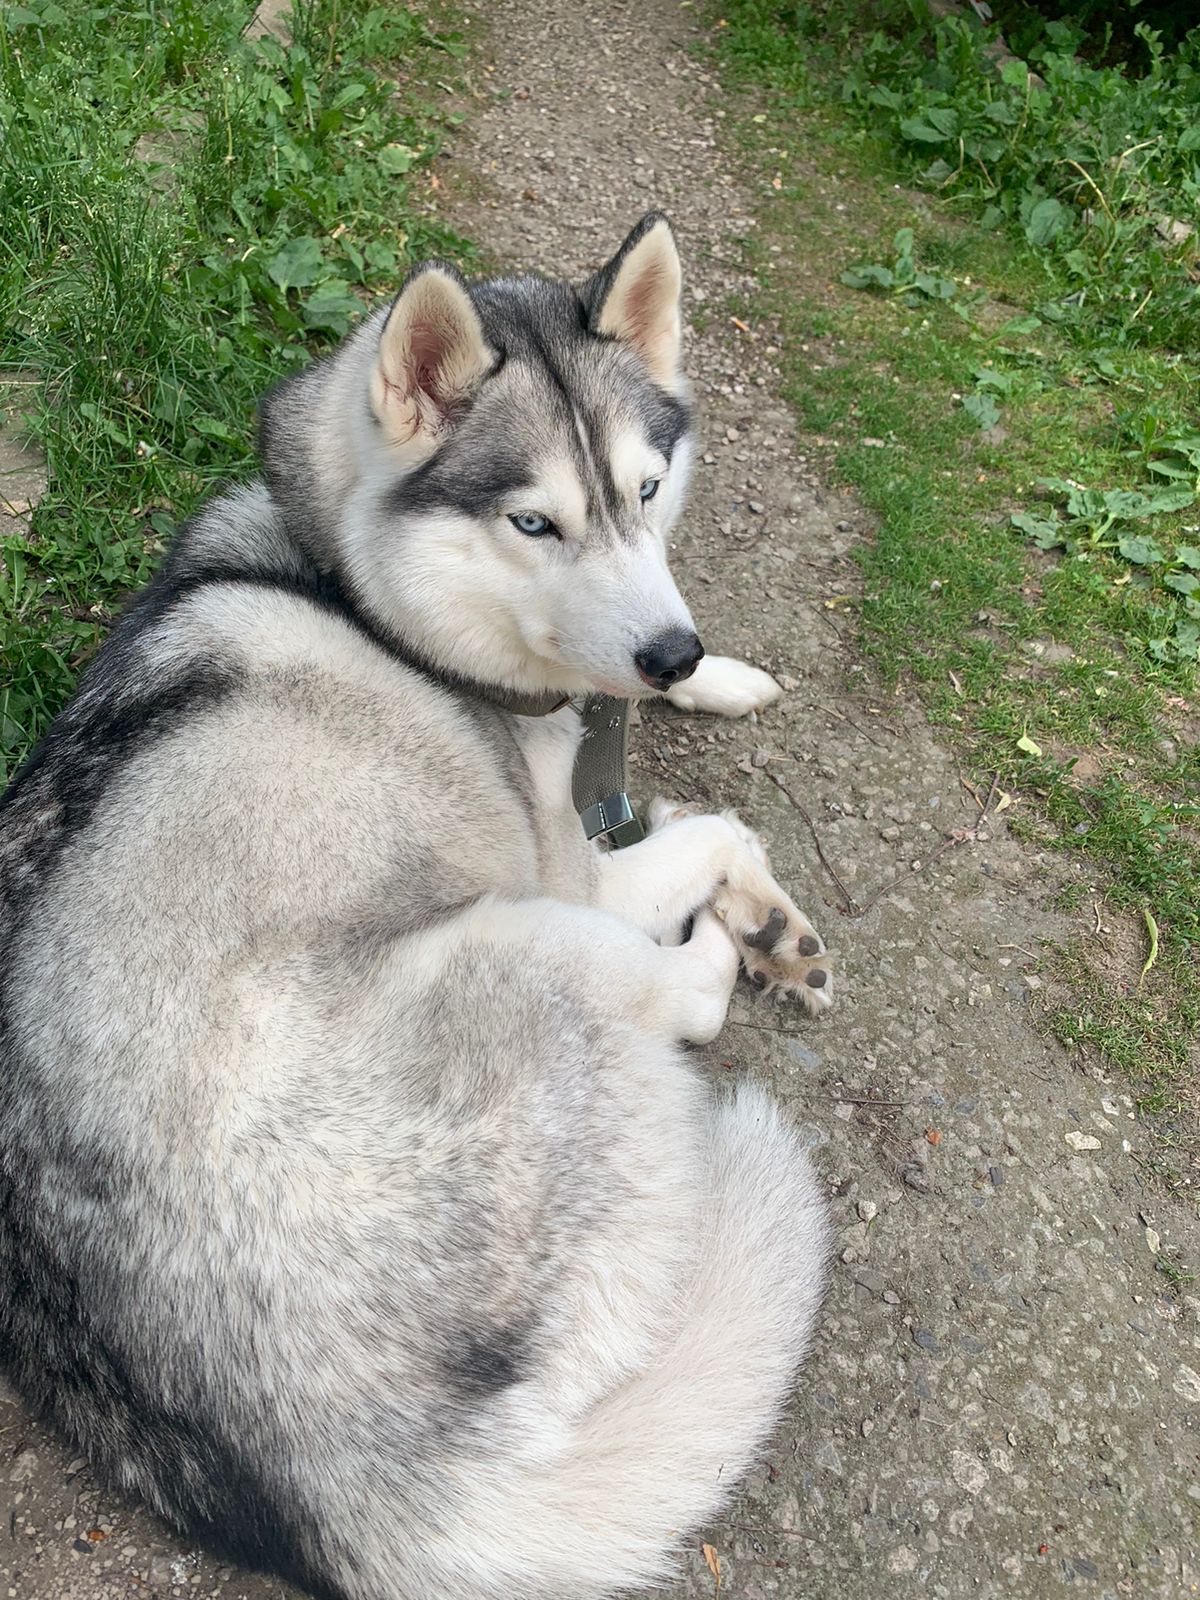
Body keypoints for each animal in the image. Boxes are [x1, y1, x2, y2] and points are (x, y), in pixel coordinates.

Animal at [0, 216, 825, 1600]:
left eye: (648, 490)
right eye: (534, 521)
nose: (666, 647)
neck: (355, 585)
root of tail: (343, 1478)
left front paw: (716, 678)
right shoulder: (569, 868)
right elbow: (716, 828)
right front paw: (752, 905)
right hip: (529, 944)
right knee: (682, 1004)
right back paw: (719, 951)